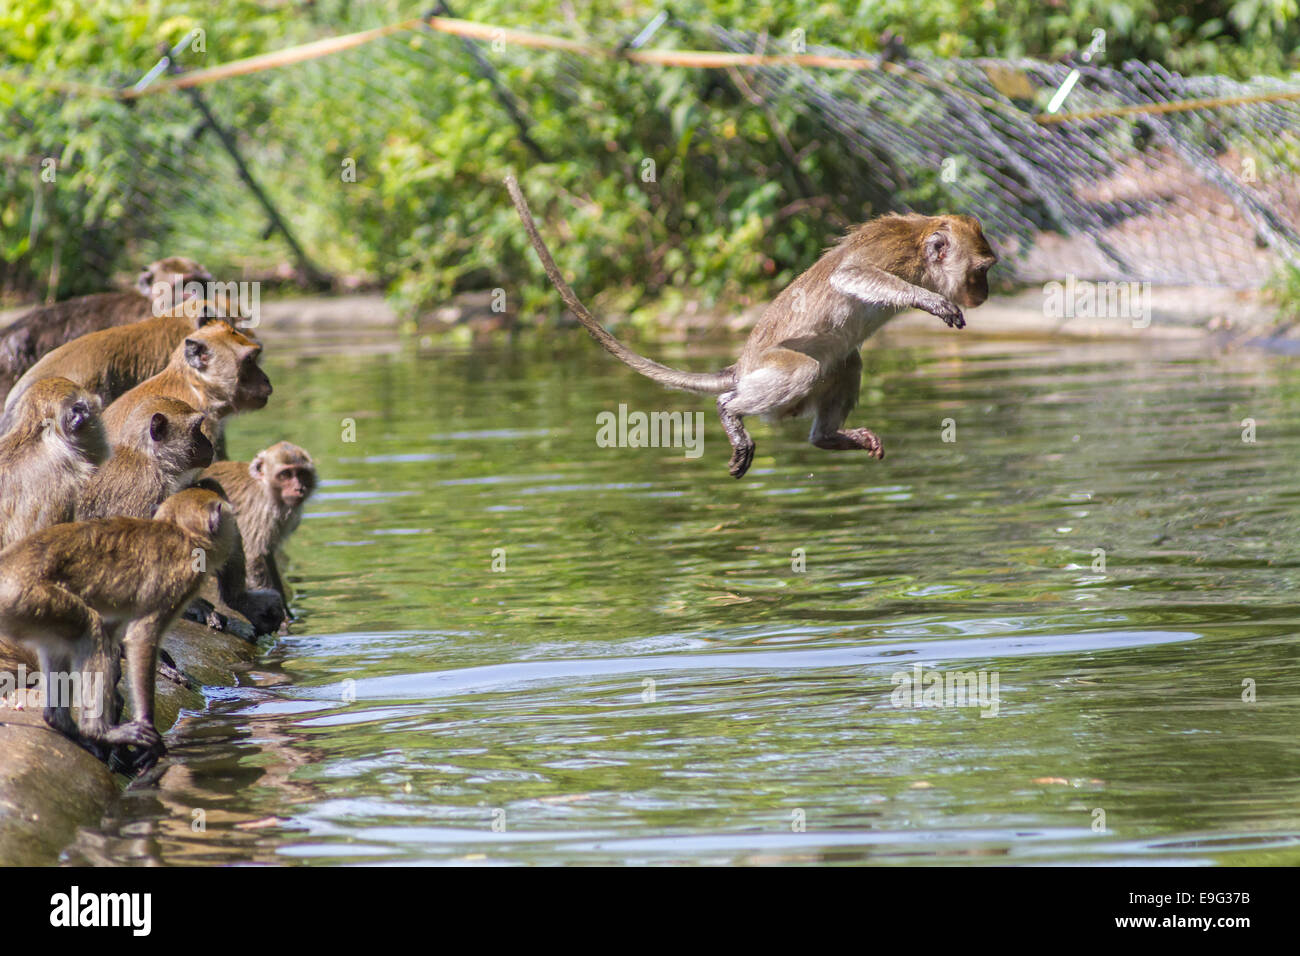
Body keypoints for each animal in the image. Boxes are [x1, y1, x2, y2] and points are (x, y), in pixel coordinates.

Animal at [0, 486, 235, 770]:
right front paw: (146, 728)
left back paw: (62, 722)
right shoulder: (182, 577)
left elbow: (113, 630)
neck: (181, 532)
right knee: (88, 627)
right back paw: (98, 731)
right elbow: (141, 638)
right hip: (28, 597)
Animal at [206, 442, 321, 606]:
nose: (299, 489)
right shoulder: (261, 510)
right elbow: (254, 556)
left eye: (301, 473)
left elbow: (268, 554)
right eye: (285, 474)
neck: (264, 486)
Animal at [504, 174, 993, 478]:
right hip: (772, 365)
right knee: (802, 370)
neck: (921, 242)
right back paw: (730, 409)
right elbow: (849, 274)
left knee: (846, 361)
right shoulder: (892, 253)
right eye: (980, 272)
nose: (985, 293)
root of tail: (741, 366)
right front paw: (931, 302)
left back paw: (827, 438)